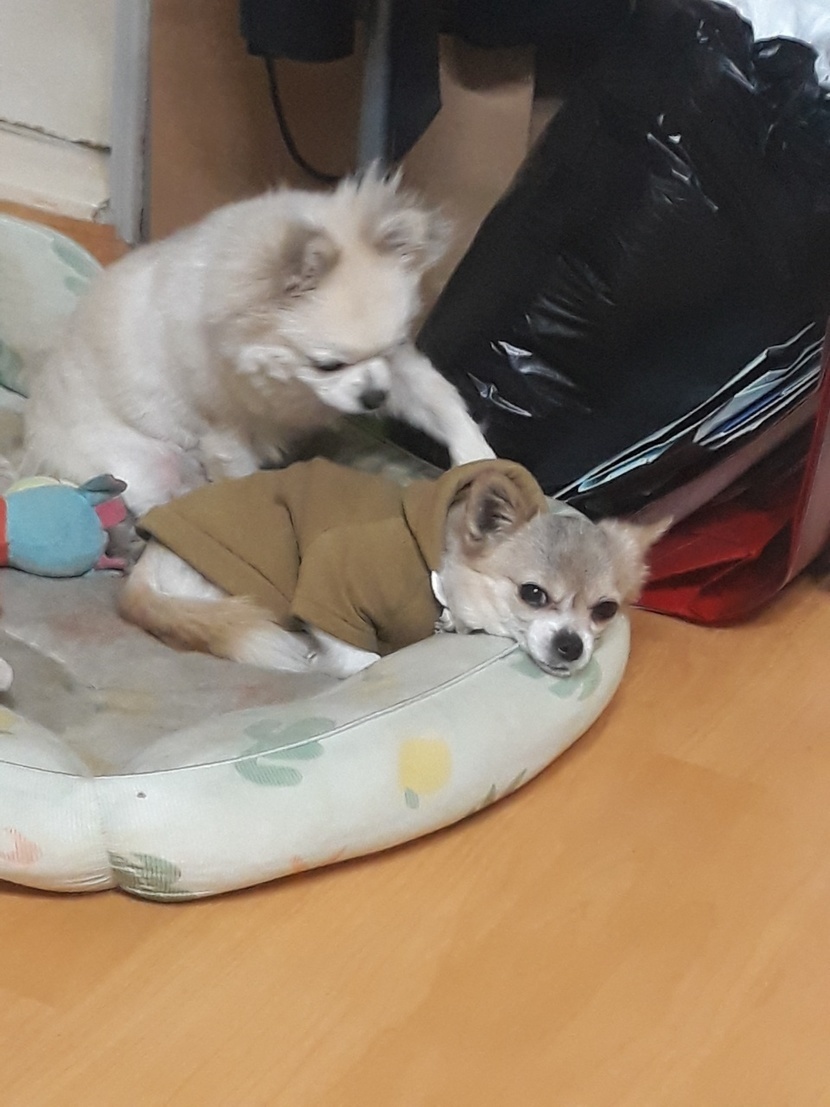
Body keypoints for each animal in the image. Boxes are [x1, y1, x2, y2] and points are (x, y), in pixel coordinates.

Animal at [22, 171, 494, 518]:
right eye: (326, 365)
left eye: (393, 346)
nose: (375, 397)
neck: (286, 385)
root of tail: (36, 430)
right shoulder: (224, 434)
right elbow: (241, 474)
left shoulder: (398, 371)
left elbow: (442, 403)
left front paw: (479, 457)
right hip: (143, 465)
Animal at [120, 457, 670, 679]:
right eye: (532, 594)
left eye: (604, 610)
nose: (572, 645)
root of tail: (147, 566)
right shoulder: (328, 578)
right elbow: (359, 658)